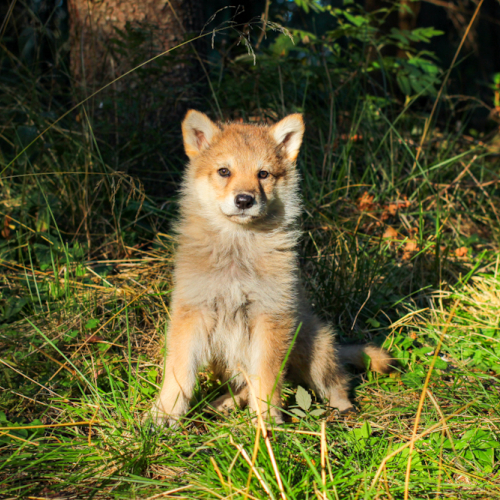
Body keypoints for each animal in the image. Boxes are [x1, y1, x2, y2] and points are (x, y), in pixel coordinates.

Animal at [149, 110, 394, 426]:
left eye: (263, 174)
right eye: (224, 171)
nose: (244, 200)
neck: (237, 252)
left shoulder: (270, 318)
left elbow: (266, 378)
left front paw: (266, 422)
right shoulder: (193, 313)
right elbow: (179, 373)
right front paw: (165, 414)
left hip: (314, 350)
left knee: (336, 382)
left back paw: (343, 409)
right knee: (243, 384)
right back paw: (225, 403)